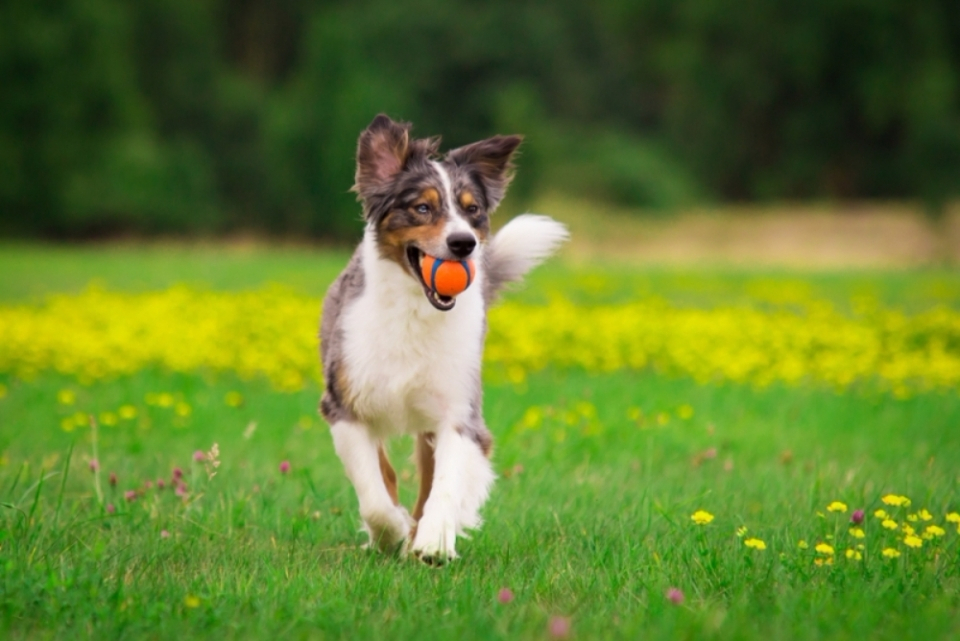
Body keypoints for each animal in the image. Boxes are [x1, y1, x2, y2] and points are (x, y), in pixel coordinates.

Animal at [322, 115, 568, 560]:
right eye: (422, 207)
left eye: (472, 211)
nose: (463, 243)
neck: (415, 312)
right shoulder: (344, 405)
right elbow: (374, 492)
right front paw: (393, 533)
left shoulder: (459, 411)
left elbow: (446, 484)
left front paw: (433, 541)